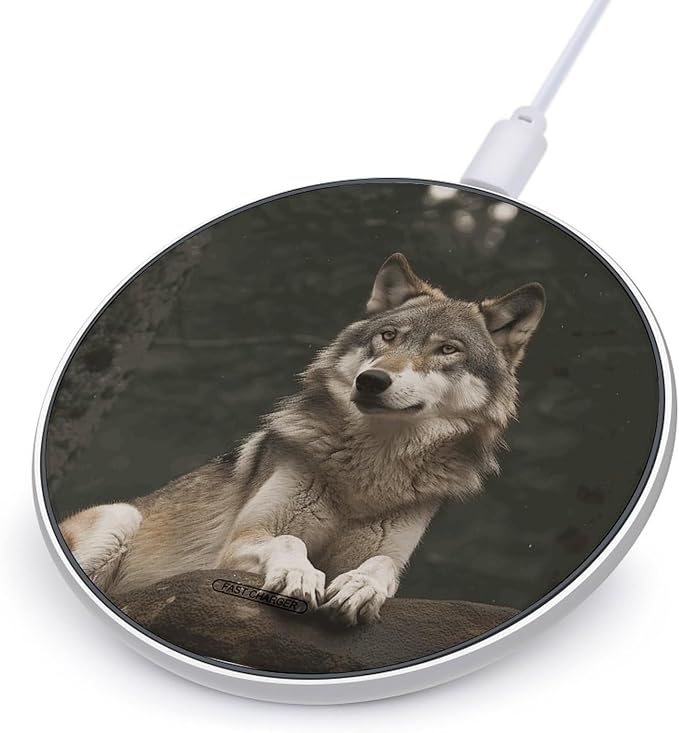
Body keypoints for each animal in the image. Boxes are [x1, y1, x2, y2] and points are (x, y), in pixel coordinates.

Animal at [59, 253, 545, 626]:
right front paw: (299, 576)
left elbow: (383, 567)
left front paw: (360, 588)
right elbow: (289, 543)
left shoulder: (386, 554)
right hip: (121, 518)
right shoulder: (240, 544)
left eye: (448, 350)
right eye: (387, 336)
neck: (370, 474)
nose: (372, 381)